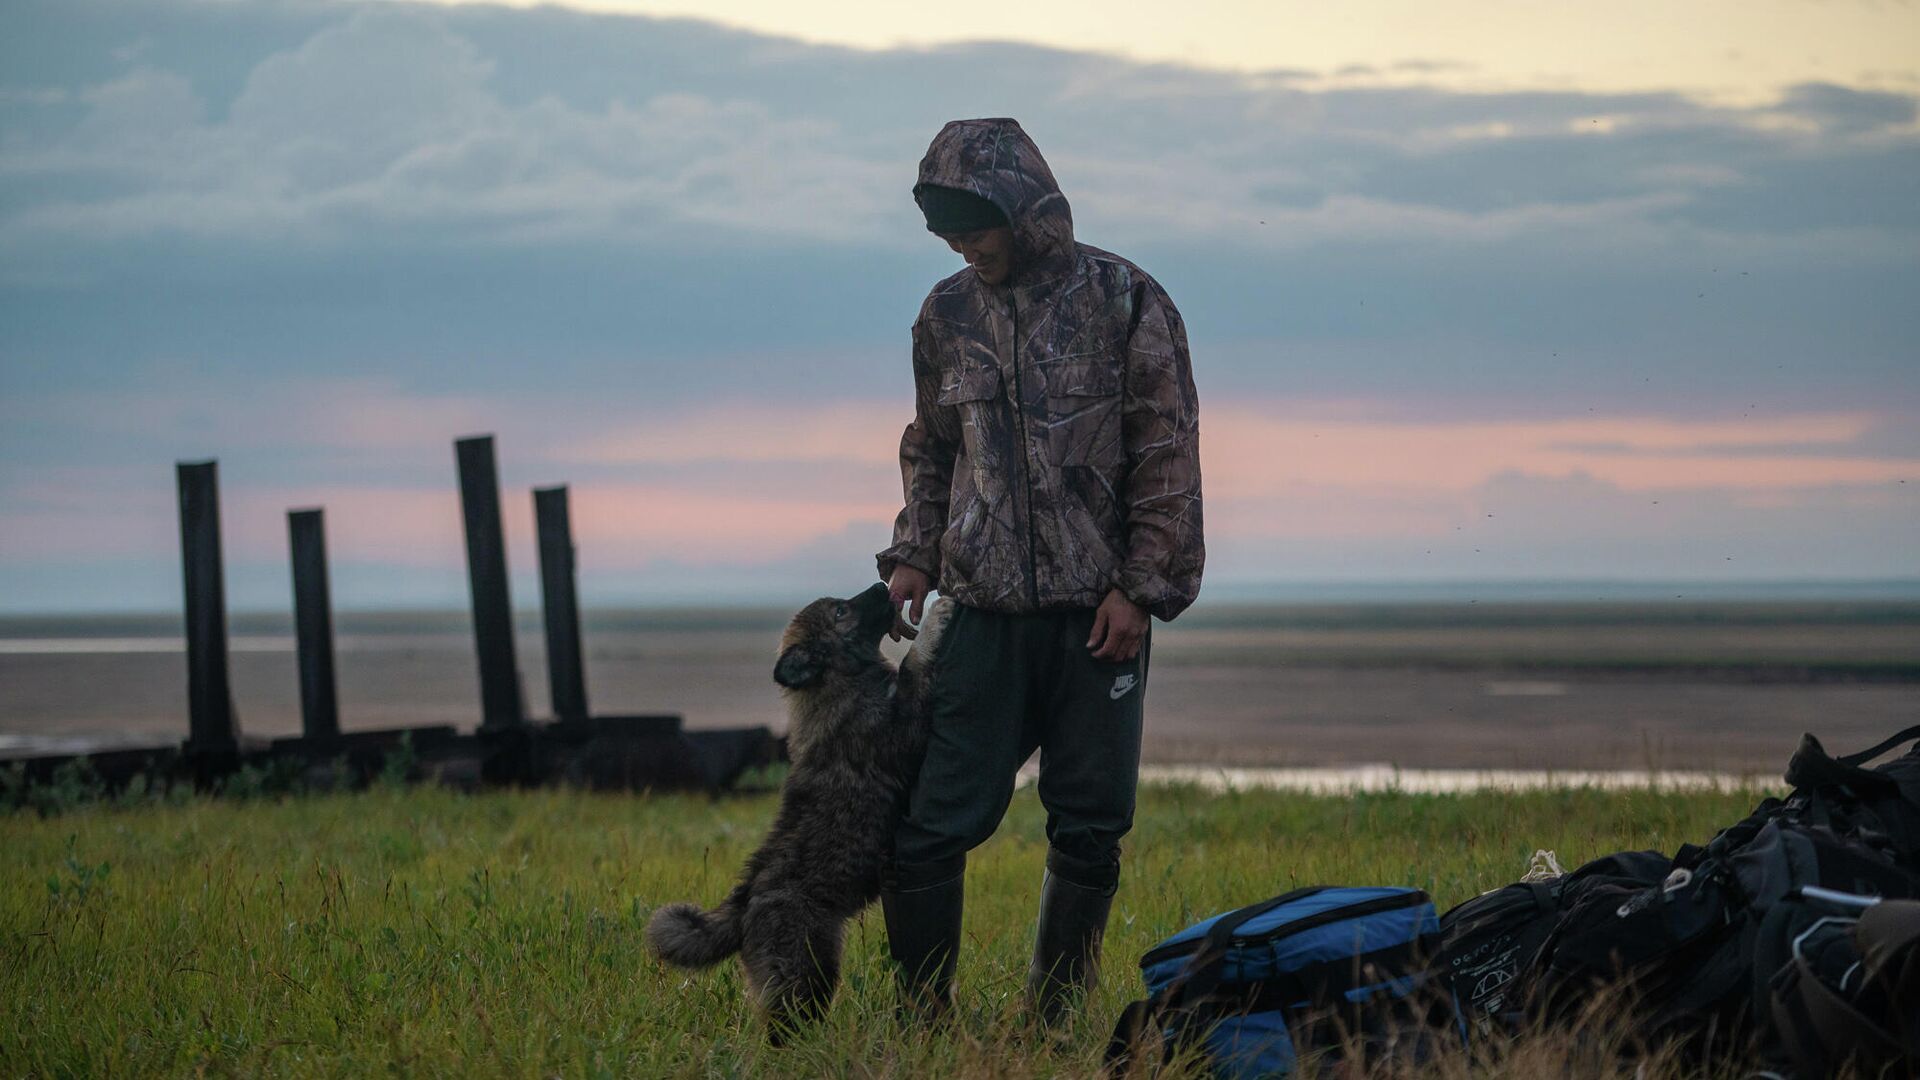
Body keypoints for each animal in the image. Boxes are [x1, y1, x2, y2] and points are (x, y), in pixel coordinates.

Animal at [645, 580, 944, 1037]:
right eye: (840, 612)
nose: (882, 584)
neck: (840, 681)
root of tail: (744, 905)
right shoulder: (900, 734)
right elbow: (913, 667)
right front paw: (938, 618)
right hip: (807, 970)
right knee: (786, 1027)